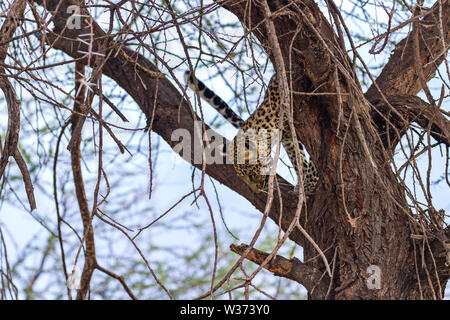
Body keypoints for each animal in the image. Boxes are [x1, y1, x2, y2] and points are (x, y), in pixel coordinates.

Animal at [185, 70, 318, 195]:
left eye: (250, 174)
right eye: (242, 177)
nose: (257, 191)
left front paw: (309, 184)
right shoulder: (287, 136)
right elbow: (296, 157)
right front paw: (303, 183)